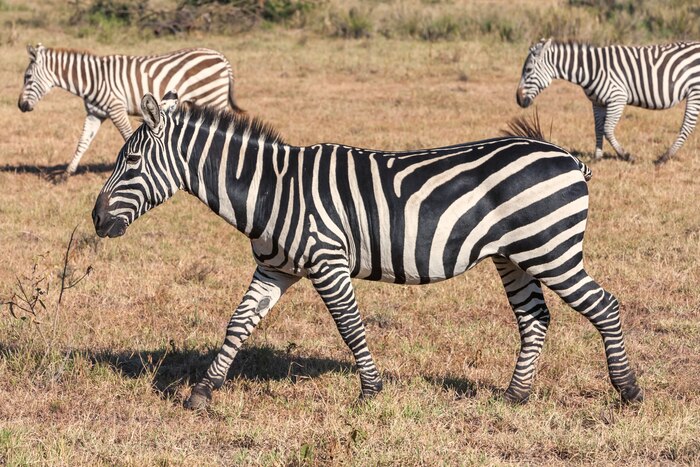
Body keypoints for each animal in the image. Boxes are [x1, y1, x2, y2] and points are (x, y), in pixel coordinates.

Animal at [18, 44, 242, 175]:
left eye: (27, 77)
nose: (21, 106)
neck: (93, 79)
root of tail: (220, 56)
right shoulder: (95, 113)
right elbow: (83, 141)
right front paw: (67, 173)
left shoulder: (116, 108)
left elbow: (127, 137)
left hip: (213, 97)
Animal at [92, 92, 643, 410]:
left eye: (131, 161)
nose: (96, 220)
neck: (272, 189)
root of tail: (567, 156)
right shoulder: (275, 267)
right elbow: (238, 323)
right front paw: (203, 392)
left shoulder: (327, 261)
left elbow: (350, 327)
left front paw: (371, 393)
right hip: (516, 256)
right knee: (536, 319)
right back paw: (515, 397)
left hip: (551, 249)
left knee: (605, 306)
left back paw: (629, 391)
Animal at [516, 38, 700, 164]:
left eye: (528, 70)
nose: (518, 99)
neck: (591, 69)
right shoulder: (597, 102)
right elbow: (598, 128)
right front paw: (597, 156)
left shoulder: (617, 98)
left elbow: (607, 129)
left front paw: (626, 155)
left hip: (694, 90)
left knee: (687, 126)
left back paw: (664, 157)